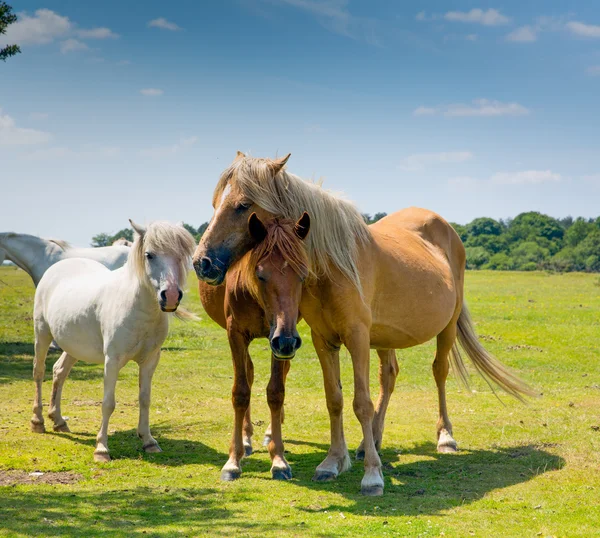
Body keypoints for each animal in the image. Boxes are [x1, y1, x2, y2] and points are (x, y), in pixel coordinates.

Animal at [31, 219, 195, 460]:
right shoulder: (113, 360)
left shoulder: (150, 361)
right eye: (149, 255)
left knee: (59, 371)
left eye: (181, 255)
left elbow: (145, 399)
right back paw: (38, 421)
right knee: (39, 372)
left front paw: (148, 441)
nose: (171, 296)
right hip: (42, 334)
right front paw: (101, 449)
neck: (137, 307)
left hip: (73, 346)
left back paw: (59, 421)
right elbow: (108, 403)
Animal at [199, 213, 310, 478]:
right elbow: (240, 392)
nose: (288, 340)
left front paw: (278, 459)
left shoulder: (279, 340)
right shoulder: (236, 335)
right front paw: (233, 460)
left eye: (303, 274)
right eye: (260, 274)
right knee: (247, 375)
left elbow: (276, 391)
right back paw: (247, 438)